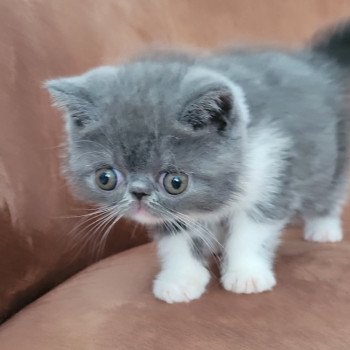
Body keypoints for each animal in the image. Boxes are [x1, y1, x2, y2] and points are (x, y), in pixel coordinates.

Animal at [45, 20, 350, 302]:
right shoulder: (171, 214)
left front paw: (246, 274)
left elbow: (252, 231)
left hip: (331, 154)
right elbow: (178, 240)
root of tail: (315, 62)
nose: (139, 193)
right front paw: (180, 280)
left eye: (175, 182)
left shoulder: (272, 169)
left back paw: (323, 228)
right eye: (105, 178)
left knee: (327, 191)